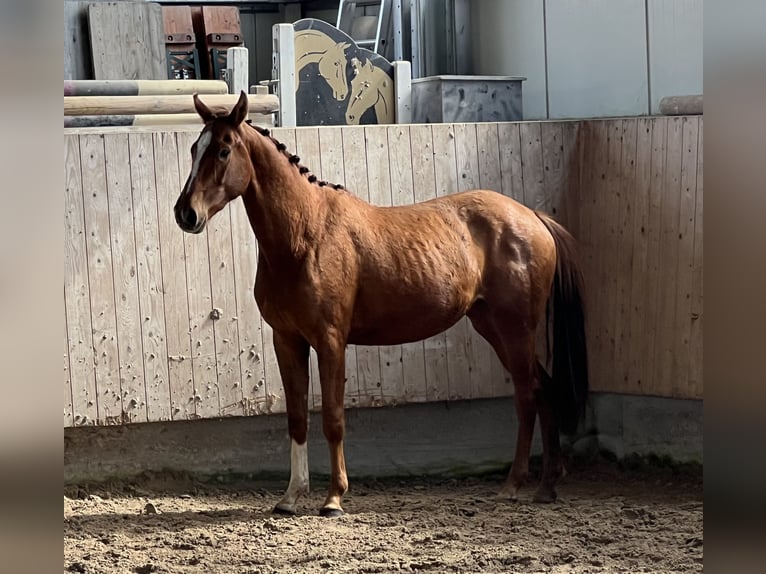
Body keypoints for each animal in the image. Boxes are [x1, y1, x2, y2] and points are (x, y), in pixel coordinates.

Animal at [174, 91, 589, 517]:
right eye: (194, 149)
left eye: (223, 150)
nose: (186, 213)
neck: (305, 235)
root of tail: (532, 217)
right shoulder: (287, 340)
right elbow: (297, 417)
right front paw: (291, 496)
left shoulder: (330, 341)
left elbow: (333, 418)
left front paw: (334, 498)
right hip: (493, 327)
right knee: (543, 388)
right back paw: (546, 486)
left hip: (515, 329)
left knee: (527, 395)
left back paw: (514, 484)